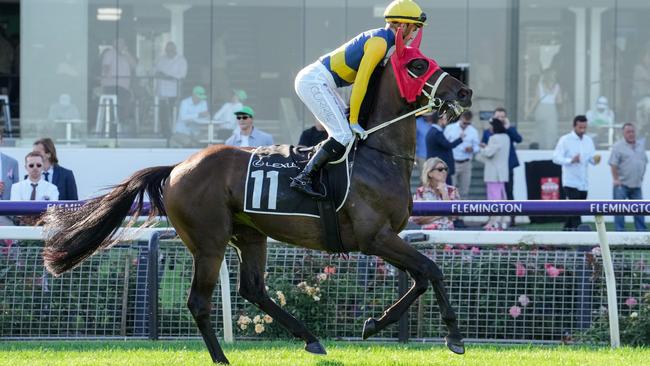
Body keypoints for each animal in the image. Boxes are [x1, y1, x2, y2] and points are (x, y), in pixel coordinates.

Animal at [44, 43, 470, 364]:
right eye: (418, 64)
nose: (464, 92)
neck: (377, 156)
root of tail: (177, 167)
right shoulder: (374, 237)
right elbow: (432, 270)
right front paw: (454, 336)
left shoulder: (386, 238)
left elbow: (420, 278)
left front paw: (374, 324)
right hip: (209, 242)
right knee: (199, 302)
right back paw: (223, 358)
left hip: (250, 235)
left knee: (254, 289)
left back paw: (310, 337)